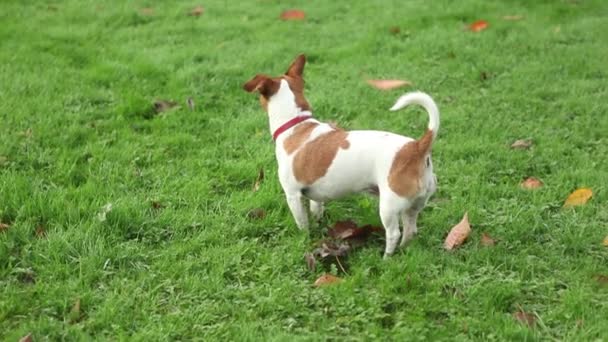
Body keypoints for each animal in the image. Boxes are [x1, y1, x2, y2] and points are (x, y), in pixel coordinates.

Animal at [245, 54, 440, 256]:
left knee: (394, 233)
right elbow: (317, 210)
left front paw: (305, 239)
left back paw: (386, 257)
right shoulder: (315, 195)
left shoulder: (293, 195)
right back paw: (402, 251)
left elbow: (302, 224)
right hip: (414, 206)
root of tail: (416, 147)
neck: (296, 124)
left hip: (389, 206)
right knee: (410, 230)